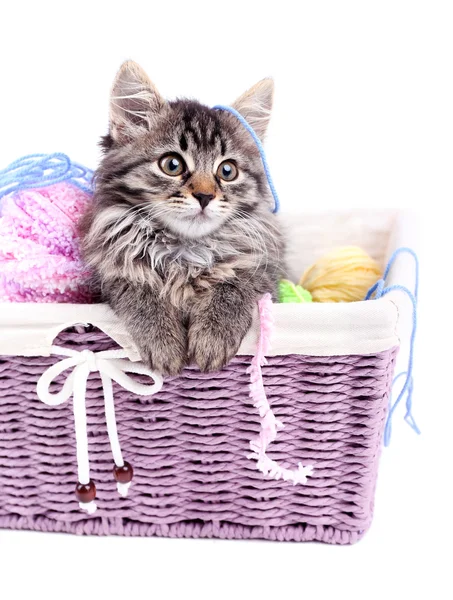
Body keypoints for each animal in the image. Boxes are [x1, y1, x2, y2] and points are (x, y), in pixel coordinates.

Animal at [78, 63, 282, 378]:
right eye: (172, 165)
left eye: (227, 171)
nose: (204, 196)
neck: (185, 249)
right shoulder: (108, 274)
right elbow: (139, 290)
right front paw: (163, 342)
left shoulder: (265, 273)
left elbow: (236, 286)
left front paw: (213, 336)